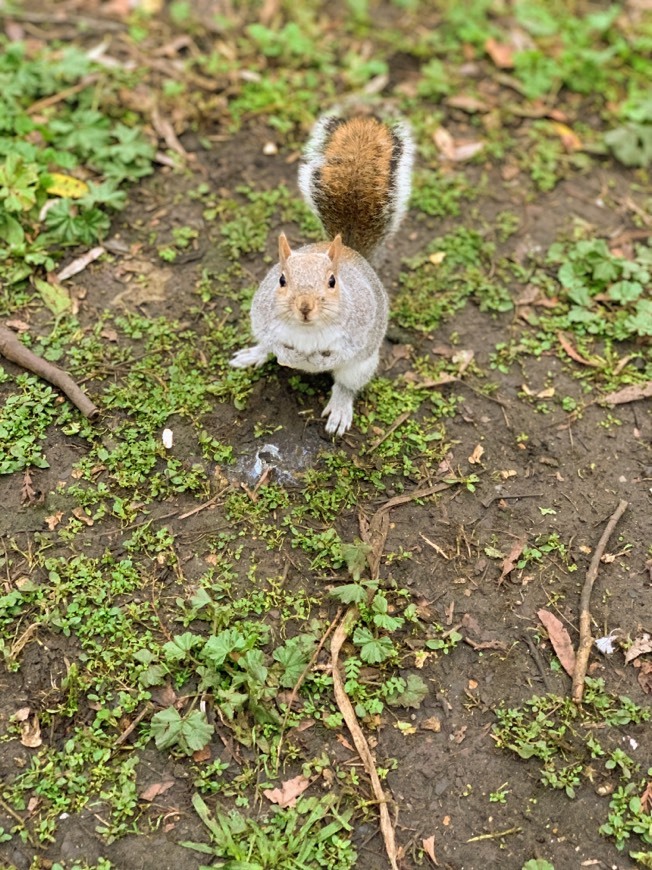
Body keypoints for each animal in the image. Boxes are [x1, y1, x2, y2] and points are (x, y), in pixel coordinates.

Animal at [229, 114, 412, 436]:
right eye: (281, 279)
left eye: (332, 281)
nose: (305, 307)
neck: (307, 331)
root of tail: (350, 251)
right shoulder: (265, 321)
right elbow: (275, 343)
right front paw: (290, 357)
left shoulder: (356, 335)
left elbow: (340, 354)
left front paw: (315, 360)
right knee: (265, 346)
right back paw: (254, 354)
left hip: (361, 367)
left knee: (346, 384)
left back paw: (339, 408)